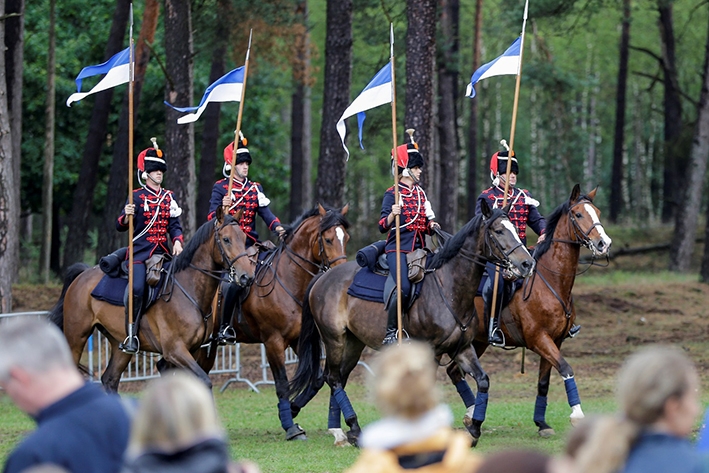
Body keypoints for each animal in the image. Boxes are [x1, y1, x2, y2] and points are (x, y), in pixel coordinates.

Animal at [47, 207, 253, 390]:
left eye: (244, 239)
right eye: (226, 239)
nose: (247, 277)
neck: (190, 290)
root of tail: (82, 275)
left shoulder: (192, 350)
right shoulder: (175, 351)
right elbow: (203, 381)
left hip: (119, 344)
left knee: (110, 379)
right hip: (76, 337)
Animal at [224, 204, 352, 442]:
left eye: (346, 237)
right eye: (328, 239)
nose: (341, 273)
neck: (288, 279)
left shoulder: (297, 339)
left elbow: (317, 379)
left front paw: (292, 409)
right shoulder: (273, 343)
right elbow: (282, 385)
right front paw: (291, 428)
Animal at [286, 200, 532, 446]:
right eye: (498, 231)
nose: (527, 263)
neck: (449, 287)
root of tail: (323, 277)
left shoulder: (462, 348)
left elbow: (483, 381)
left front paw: (473, 428)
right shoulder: (431, 351)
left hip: (353, 343)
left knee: (338, 377)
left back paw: (344, 431)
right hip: (334, 339)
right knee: (333, 378)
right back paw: (349, 428)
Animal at [450, 184, 612, 438]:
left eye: (597, 212)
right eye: (578, 214)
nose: (604, 243)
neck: (551, 281)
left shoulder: (556, 340)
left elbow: (544, 382)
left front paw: (541, 423)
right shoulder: (538, 338)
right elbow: (566, 367)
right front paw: (577, 415)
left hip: (477, 342)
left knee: (454, 372)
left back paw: (470, 415)